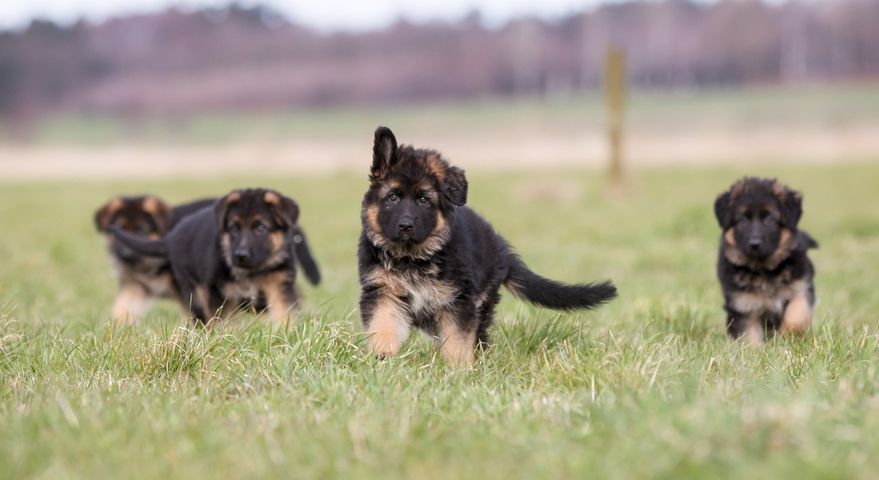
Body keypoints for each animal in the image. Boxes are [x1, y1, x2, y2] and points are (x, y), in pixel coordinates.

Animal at [108, 189, 318, 324]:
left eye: (260, 228)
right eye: (233, 228)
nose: (240, 255)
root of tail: (172, 237)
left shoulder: (278, 284)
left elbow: (284, 314)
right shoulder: (217, 293)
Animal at [358, 126, 620, 364]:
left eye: (424, 200)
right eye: (393, 197)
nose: (405, 226)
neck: (412, 258)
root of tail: (501, 248)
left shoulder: (458, 301)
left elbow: (457, 340)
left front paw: (458, 370)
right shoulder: (382, 292)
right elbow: (383, 325)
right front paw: (382, 356)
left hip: (483, 299)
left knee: (478, 336)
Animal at [716, 178, 820, 344]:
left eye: (769, 218)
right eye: (742, 220)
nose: (755, 244)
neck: (765, 271)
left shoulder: (801, 287)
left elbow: (797, 314)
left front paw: (788, 335)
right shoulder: (743, 305)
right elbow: (749, 335)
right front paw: (755, 349)